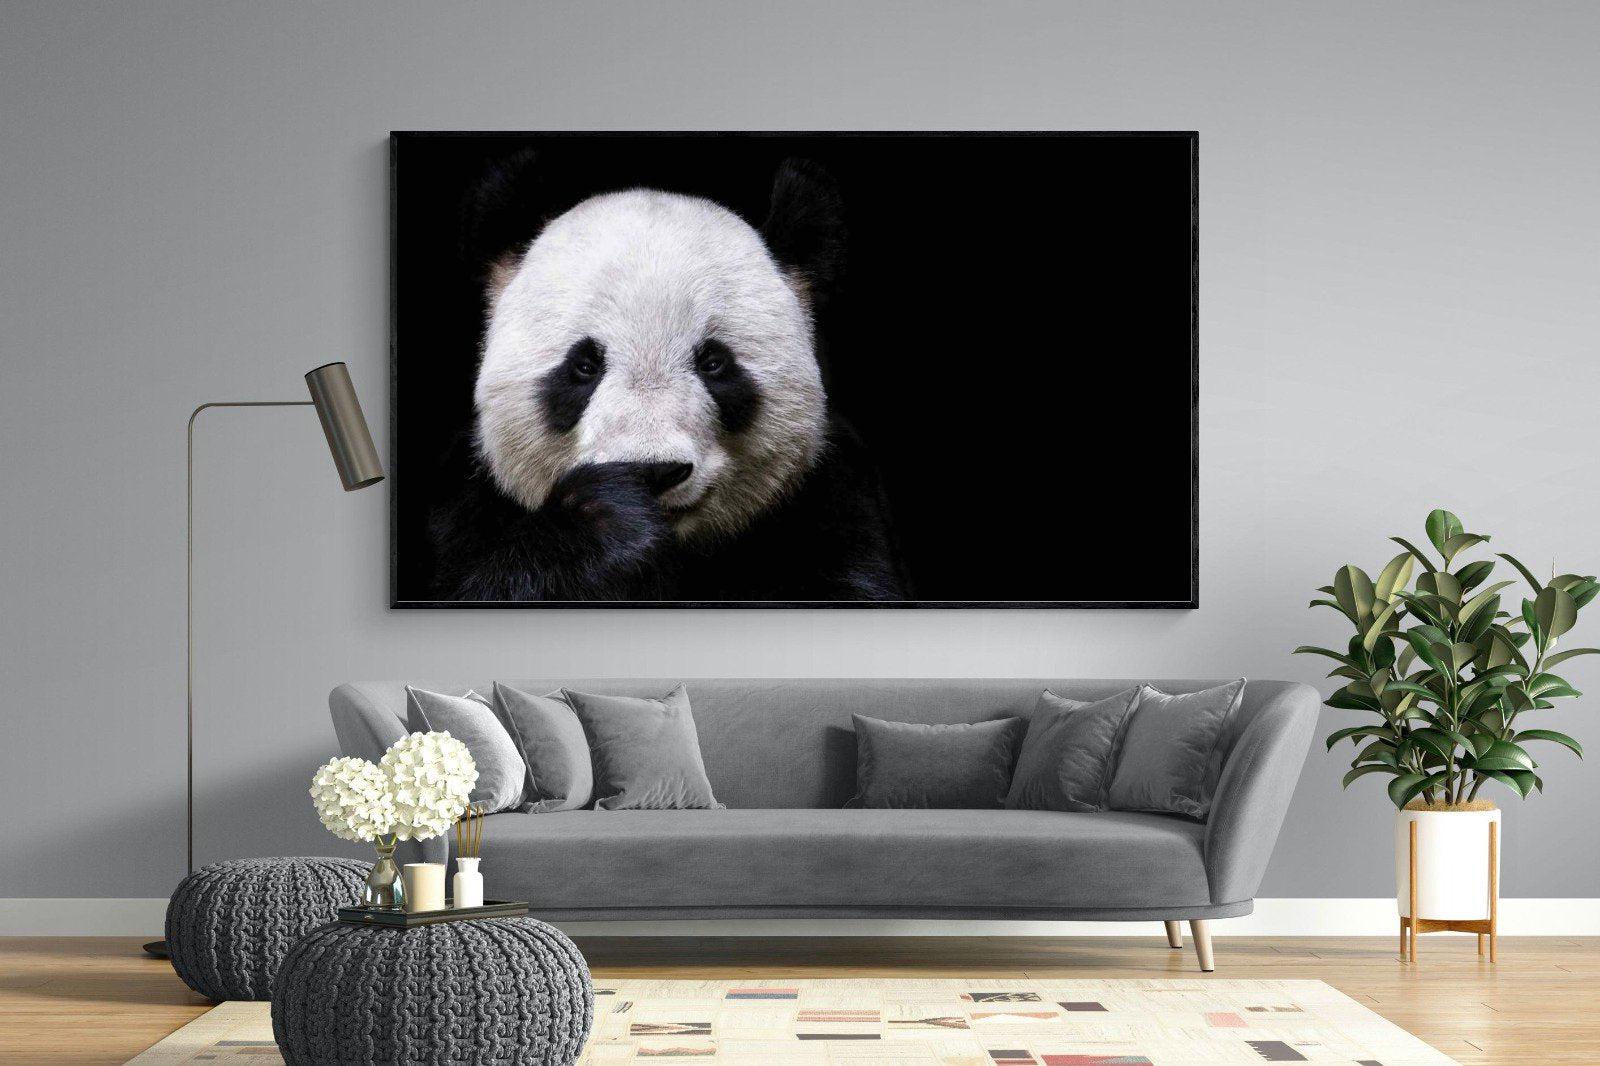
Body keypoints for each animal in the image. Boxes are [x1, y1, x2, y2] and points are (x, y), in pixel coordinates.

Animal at [428, 154, 909, 602]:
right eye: (584, 365)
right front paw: (605, 522)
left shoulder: (833, 502)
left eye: (713, 363)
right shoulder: (466, 507)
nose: (653, 471)